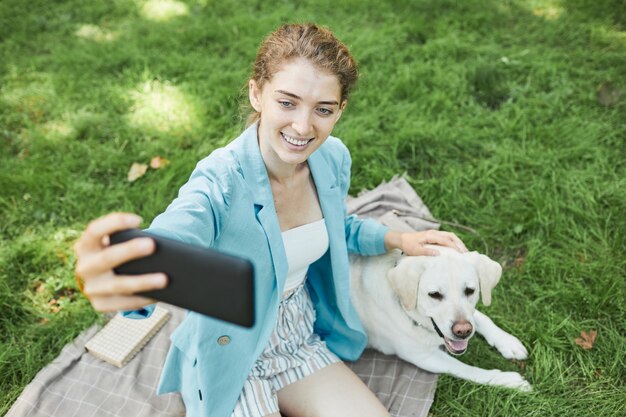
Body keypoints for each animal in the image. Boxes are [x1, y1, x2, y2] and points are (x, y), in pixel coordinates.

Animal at [348, 244, 528, 390]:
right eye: (434, 294)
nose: (463, 331)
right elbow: (466, 369)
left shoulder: (470, 315)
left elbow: (482, 318)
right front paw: (507, 380)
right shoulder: (422, 356)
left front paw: (508, 342)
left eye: (470, 290)